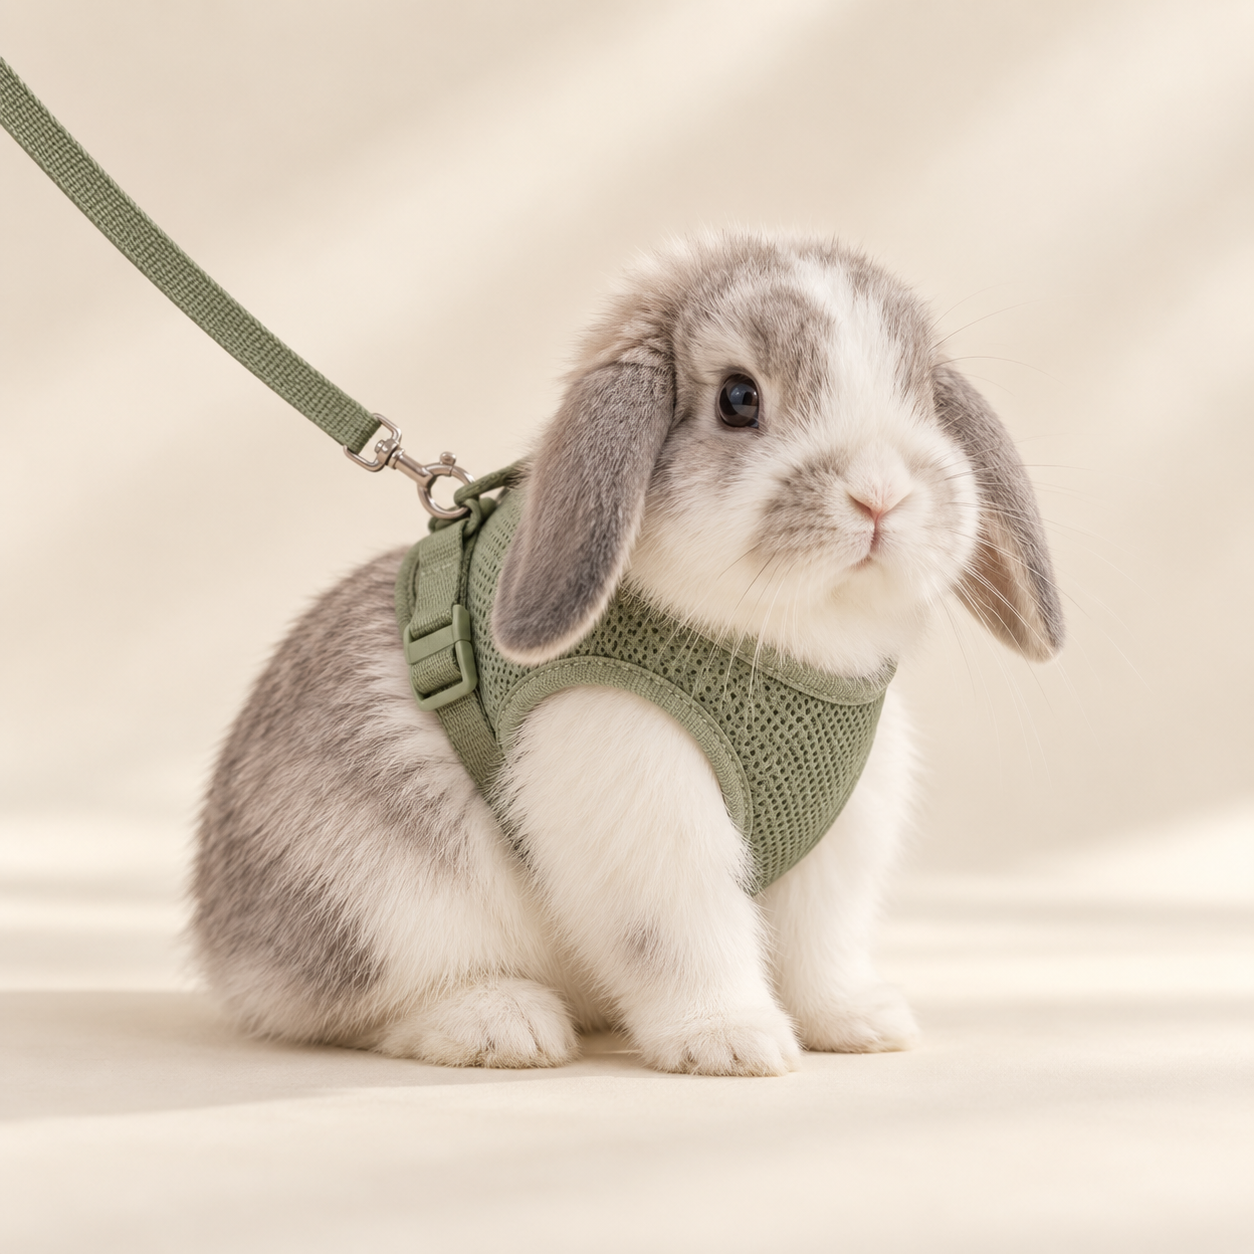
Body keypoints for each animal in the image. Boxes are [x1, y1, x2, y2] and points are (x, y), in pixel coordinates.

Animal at [191, 231, 1063, 1076]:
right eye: (738, 399)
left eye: (921, 396)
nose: (881, 496)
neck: (781, 646)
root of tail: (221, 938)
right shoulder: (646, 814)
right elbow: (685, 935)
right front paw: (732, 1042)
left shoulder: (838, 849)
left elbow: (821, 952)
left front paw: (860, 1025)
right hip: (382, 898)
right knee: (365, 1007)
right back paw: (500, 1024)